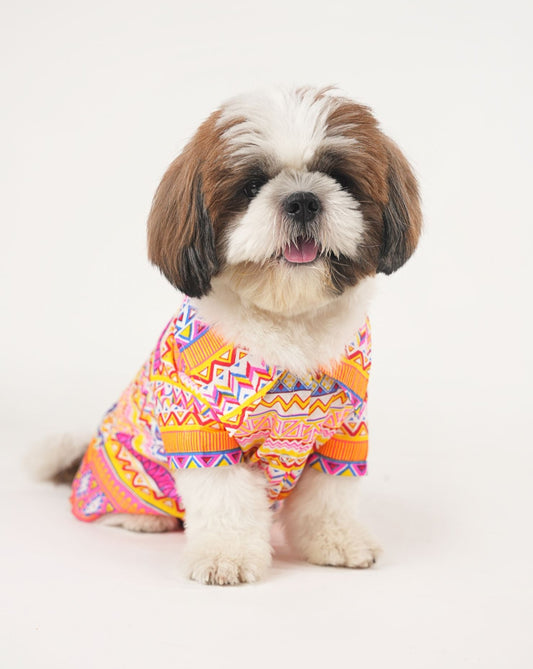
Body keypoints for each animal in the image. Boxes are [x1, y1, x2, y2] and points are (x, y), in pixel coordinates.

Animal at [40, 88, 420, 584]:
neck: (286, 322)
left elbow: (328, 498)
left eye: (338, 176)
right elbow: (225, 501)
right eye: (251, 186)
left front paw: (337, 540)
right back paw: (140, 518)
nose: (302, 200)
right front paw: (228, 556)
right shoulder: (199, 430)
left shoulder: (344, 431)